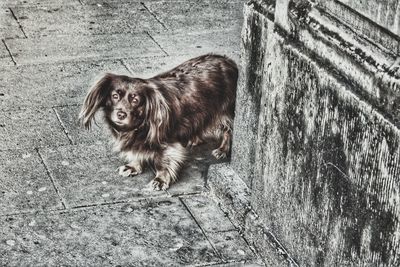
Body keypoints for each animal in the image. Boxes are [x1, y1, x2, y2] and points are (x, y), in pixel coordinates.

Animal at [78, 54, 238, 191]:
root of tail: (228, 60)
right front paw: (133, 166)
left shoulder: (167, 144)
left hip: (226, 112)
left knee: (228, 131)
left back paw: (223, 149)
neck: (138, 126)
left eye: (135, 100)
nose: (121, 114)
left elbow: (163, 163)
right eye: (115, 96)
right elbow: (136, 153)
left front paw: (160, 180)